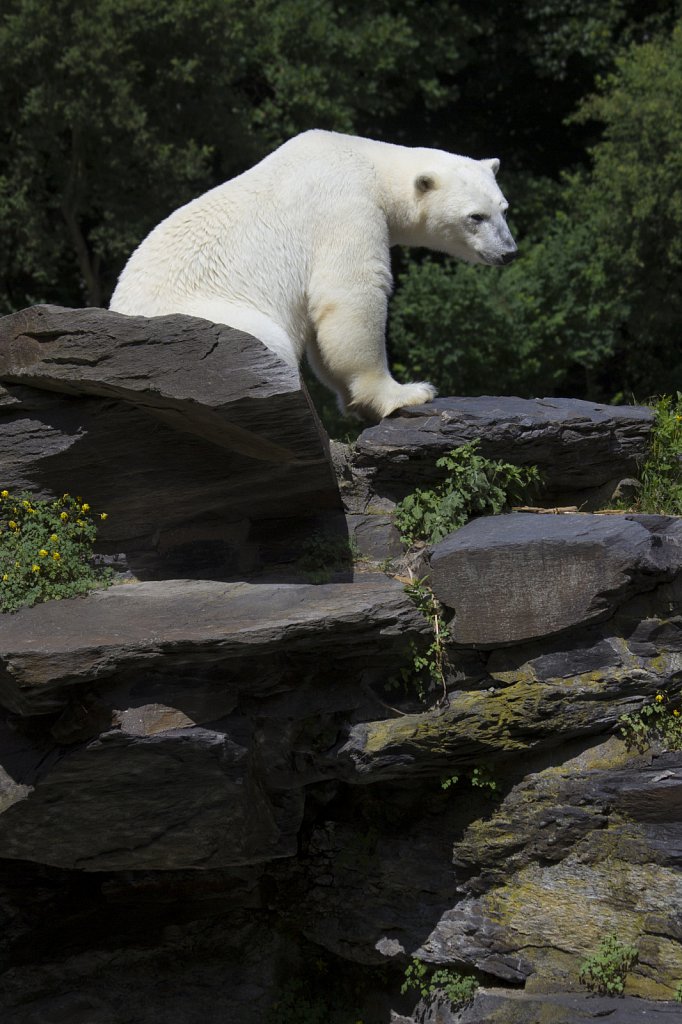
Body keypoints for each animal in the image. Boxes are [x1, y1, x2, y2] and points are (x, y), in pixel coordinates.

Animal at [110, 131, 516, 419]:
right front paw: (407, 393)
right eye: (475, 216)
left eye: (503, 208)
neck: (365, 160)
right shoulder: (346, 206)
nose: (509, 252)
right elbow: (351, 294)